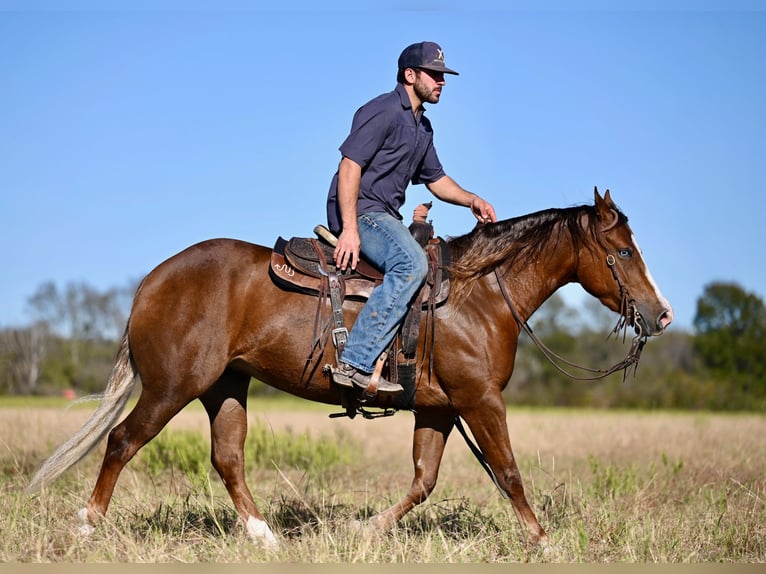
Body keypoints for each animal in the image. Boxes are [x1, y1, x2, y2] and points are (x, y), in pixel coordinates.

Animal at [28, 188, 672, 548]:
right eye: (622, 251)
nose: (661, 314)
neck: (480, 294)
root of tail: (152, 281)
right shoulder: (480, 400)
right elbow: (508, 471)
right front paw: (541, 541)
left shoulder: (440, 409)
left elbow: (423, 480)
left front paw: (365, 530)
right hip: (171, 387)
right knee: (121, 441)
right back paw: (87, 525)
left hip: (225, 386)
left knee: (227, 457)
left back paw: (264, 537)